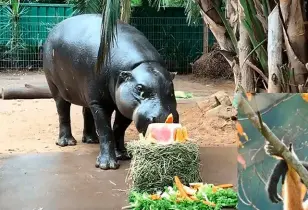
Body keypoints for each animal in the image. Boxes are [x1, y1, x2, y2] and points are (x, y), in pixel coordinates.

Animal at [42, 13, 179, 170]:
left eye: (171, 89)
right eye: (139, 88)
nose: (163, 118)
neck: (137, 67)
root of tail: (55, 28)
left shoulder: (125, 105)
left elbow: (119, 128)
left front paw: (123, 155)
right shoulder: (101, 103)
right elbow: (105, 130)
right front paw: (107, 165)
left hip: (88, 95)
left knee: (86, 112)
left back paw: (91, 139)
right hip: (56, 87)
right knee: (63, 112)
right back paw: (67, 142)